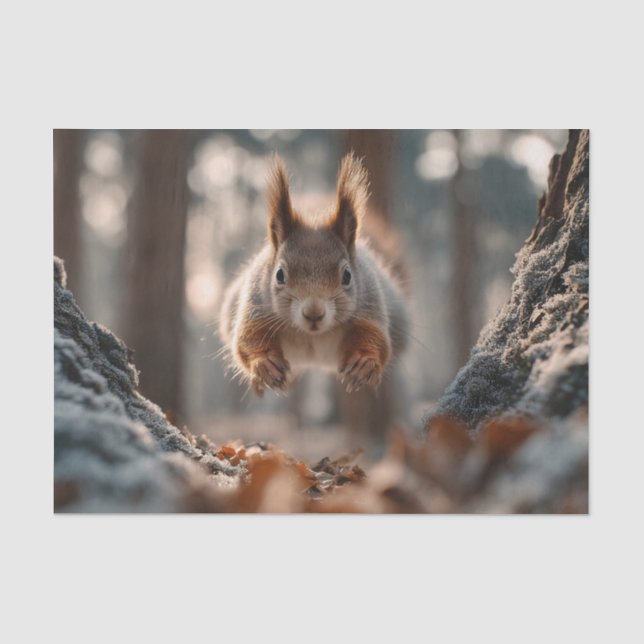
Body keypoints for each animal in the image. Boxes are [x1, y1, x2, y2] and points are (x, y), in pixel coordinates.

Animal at [219, 152, 409, 396]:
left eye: (347, 276)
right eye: (279, 274)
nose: (314, 313)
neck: (311, 335)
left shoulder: (369, 304)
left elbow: (375, 337)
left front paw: (363, 362)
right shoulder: (256, 304)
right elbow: (247, 338)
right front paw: (265, 363)